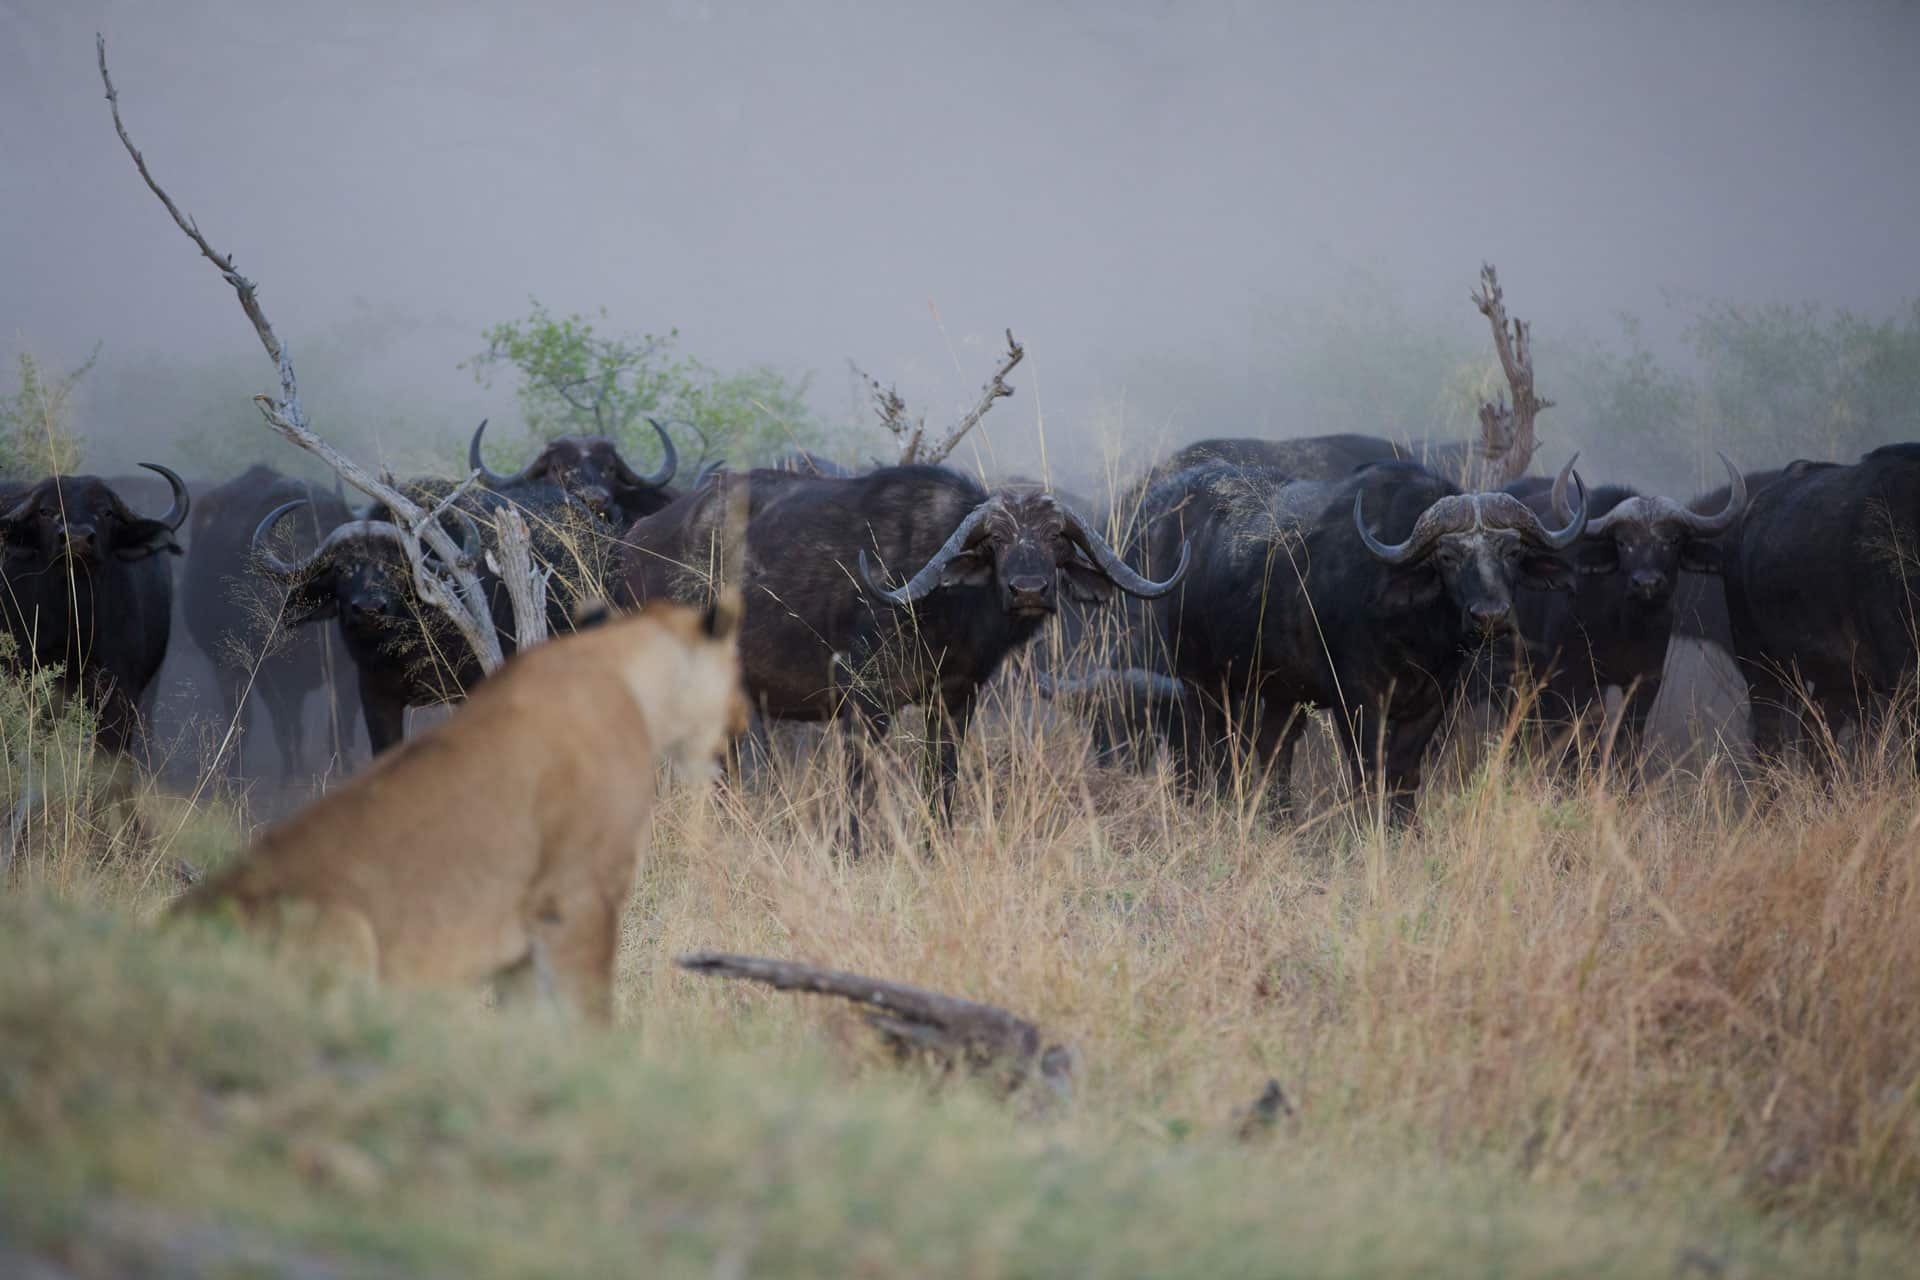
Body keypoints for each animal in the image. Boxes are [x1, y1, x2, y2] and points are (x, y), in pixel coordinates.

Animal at [183, 466, 360, 775]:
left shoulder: (347, 670)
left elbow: (340, 723)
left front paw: (344, 768)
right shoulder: (274, 675)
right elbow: (287, 730)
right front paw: (294, 778)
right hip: (227, 665)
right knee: (241, 719)